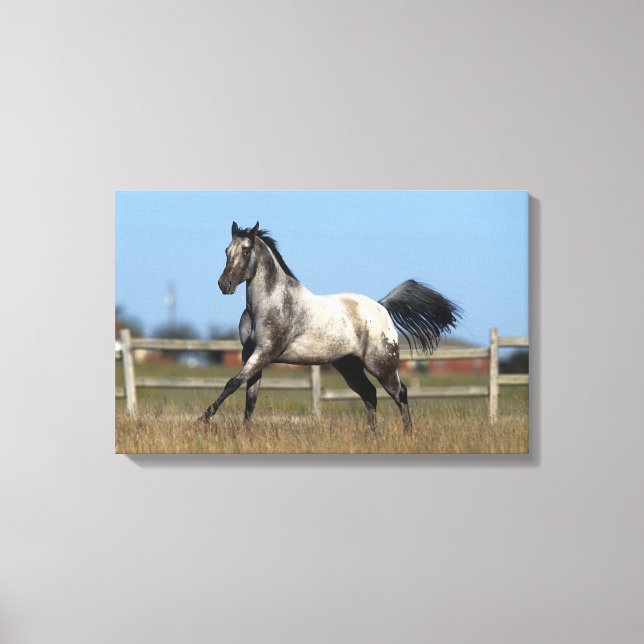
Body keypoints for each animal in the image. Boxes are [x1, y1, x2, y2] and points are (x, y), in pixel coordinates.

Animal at [199, 221, 461, 433]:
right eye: (226, 251)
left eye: (245, 250)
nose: (224, 284)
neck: (268, 304)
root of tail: (381, 306)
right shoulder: (250, 354)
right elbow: (249, 398)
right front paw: (245, 433)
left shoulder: (265, 352)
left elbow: (232, 383)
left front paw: (202, 419)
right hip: (349, 366)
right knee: (370, 394)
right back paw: (371, 435)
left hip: (382, 366)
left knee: (400, 393)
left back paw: (408, 434)